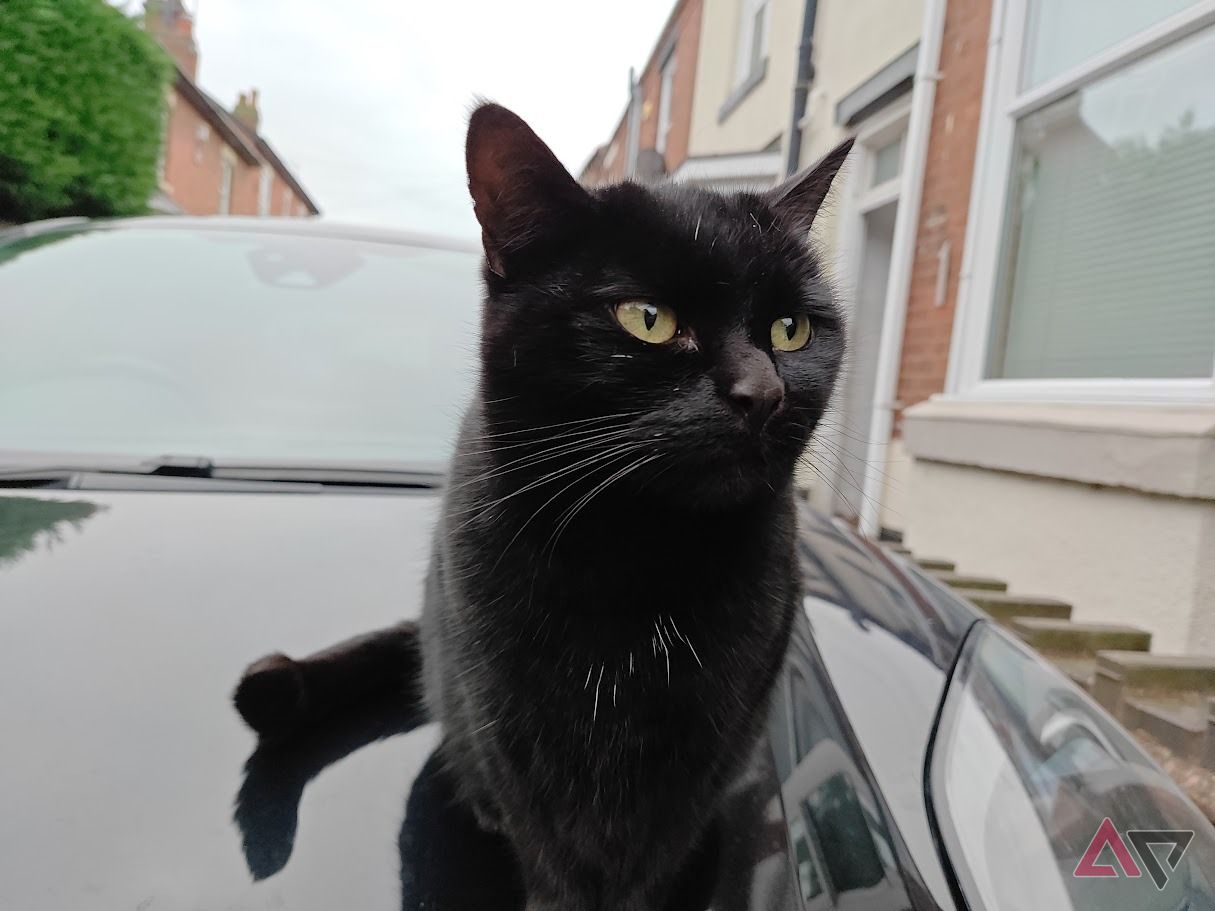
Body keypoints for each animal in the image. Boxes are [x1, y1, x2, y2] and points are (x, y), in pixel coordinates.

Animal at [232, 103, 850, 911]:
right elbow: (555, 857)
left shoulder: (711, 737)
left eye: (790, 328)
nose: (764, 393)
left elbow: (652, 855)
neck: (637, 557)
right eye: (648, 318)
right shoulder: (510, 725)